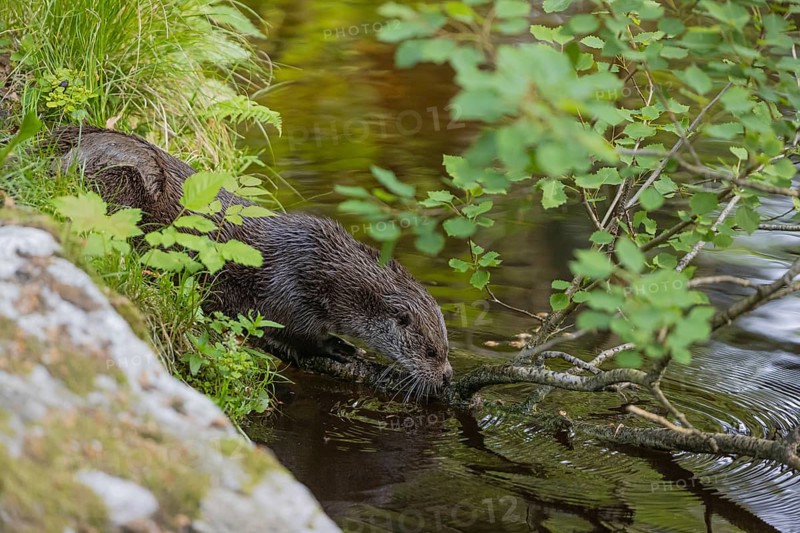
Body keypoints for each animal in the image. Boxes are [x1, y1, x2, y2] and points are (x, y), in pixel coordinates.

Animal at [53, 126, 453, 392]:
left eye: (447, 349)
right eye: (432, 351)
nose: (447, 375)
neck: (329, 274)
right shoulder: (291, 290)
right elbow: (298, 334)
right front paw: (340, 346)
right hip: (129, 181)